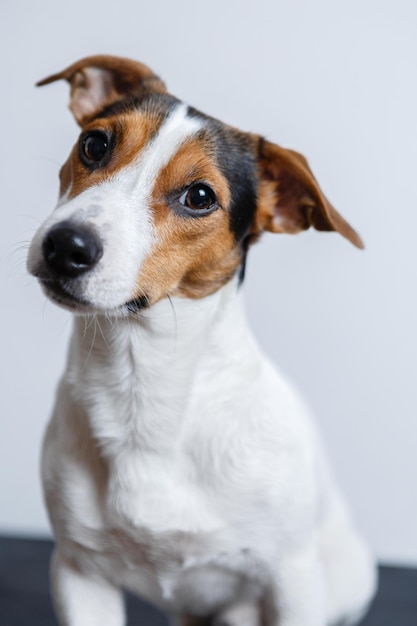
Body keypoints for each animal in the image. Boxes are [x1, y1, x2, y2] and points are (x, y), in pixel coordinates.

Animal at [27, 54, 376, 624]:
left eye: (199, 196)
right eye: (94, 144)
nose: (66, 245)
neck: (143, 383)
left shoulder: (292, 577)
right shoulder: (79, 571)